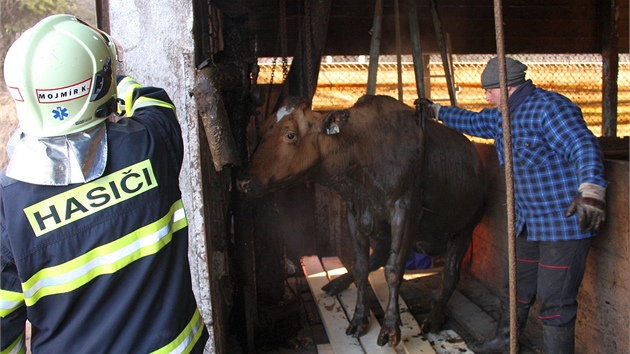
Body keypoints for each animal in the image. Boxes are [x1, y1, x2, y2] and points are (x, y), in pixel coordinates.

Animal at [237, 94, 484, 346]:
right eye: (263, 130)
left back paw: (434, 317)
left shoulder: (405, 210)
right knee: (378, 258)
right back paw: (336, 283)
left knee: (451, 273)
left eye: (290, 135)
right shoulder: (355, 212)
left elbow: (394, 269)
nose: (243, 181)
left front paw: (390, 328)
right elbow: (361, 266)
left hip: (466, 227)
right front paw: (358, 319)